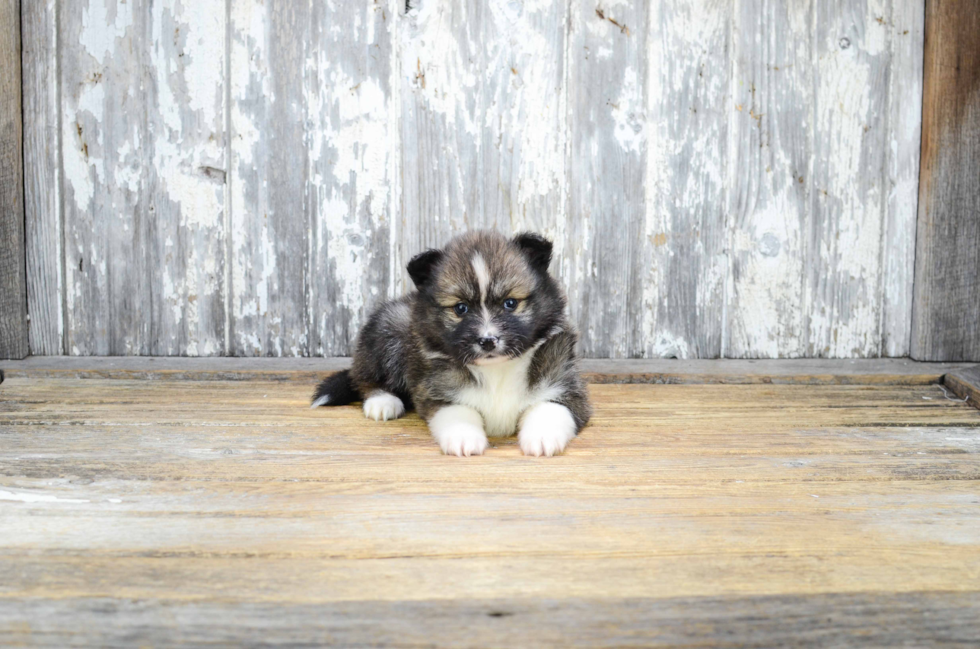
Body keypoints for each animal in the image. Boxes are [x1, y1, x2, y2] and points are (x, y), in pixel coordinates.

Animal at [312, 229, 588, 456]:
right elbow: (459, 412)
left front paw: (543, 437)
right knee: (364, 376)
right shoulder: (438, 390)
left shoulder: (565, 385)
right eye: (461, 308)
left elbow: (549, 408)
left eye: (510, 303)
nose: (487, 341)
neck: (496, 370)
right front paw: (464, 437)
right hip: (388, 327)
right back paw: (382, 402)